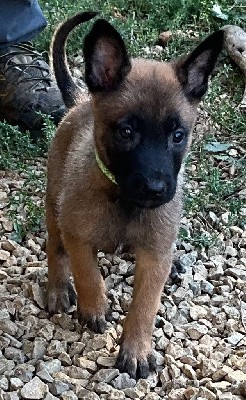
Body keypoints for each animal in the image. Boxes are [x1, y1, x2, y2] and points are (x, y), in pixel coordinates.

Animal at [46, 12, 225, 380]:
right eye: (126, 132)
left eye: (178, 135)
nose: (156, 189)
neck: (124, 201)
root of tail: (81, 102)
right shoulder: (77, 233)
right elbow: (86, 272)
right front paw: (95, 305)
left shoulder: (154, 255)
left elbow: (145, 304)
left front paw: (137, 350)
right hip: (53, 199)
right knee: (54, 245)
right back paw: (57, 287)